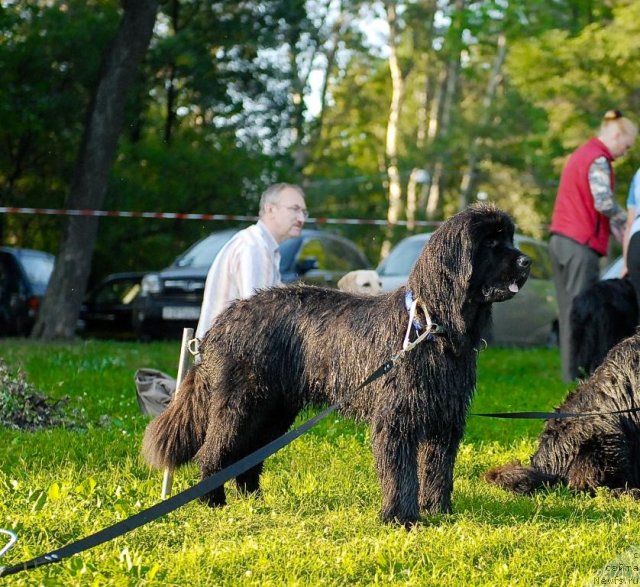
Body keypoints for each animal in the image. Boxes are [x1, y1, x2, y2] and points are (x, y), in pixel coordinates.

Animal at [141, 203, 528, 528]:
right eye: (493, 242)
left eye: (508, 239)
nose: (527, 262)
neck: (430, 326)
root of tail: (220, 324)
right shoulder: (397, 419)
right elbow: (401, 472)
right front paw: (401, 519)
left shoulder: (445, 419)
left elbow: (438, 469)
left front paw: (440, 513)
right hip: (240, 404)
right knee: (213, 452)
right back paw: (213, 502)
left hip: (274, 411)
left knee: (249, 457)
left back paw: (256, 502)